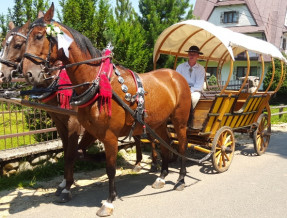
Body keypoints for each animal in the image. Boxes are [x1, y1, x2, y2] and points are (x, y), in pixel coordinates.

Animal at [0, 18, 160, 203]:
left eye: (18, 44)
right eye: (4, 43)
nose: (2, 75)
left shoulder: (74, 124)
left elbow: (72, 153)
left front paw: (67, 187)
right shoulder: (60, 123)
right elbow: (69, 151)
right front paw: (65, 182)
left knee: (151, 137)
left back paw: (154, 163)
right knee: (138, 137)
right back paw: (139, 162)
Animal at [20, 3, 191, 216]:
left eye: (39, 36)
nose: (28, 74)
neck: (97, 81)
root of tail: (176, 75)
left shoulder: (109, 136)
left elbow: (110, 168)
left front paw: (109, 201)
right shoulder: (93, 131)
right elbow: (77, 154)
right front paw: (69, 185)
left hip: (179, 121)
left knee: (181, 145)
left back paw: (181, 179)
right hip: (158, 122)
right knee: (166, 143)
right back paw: (162, 176)